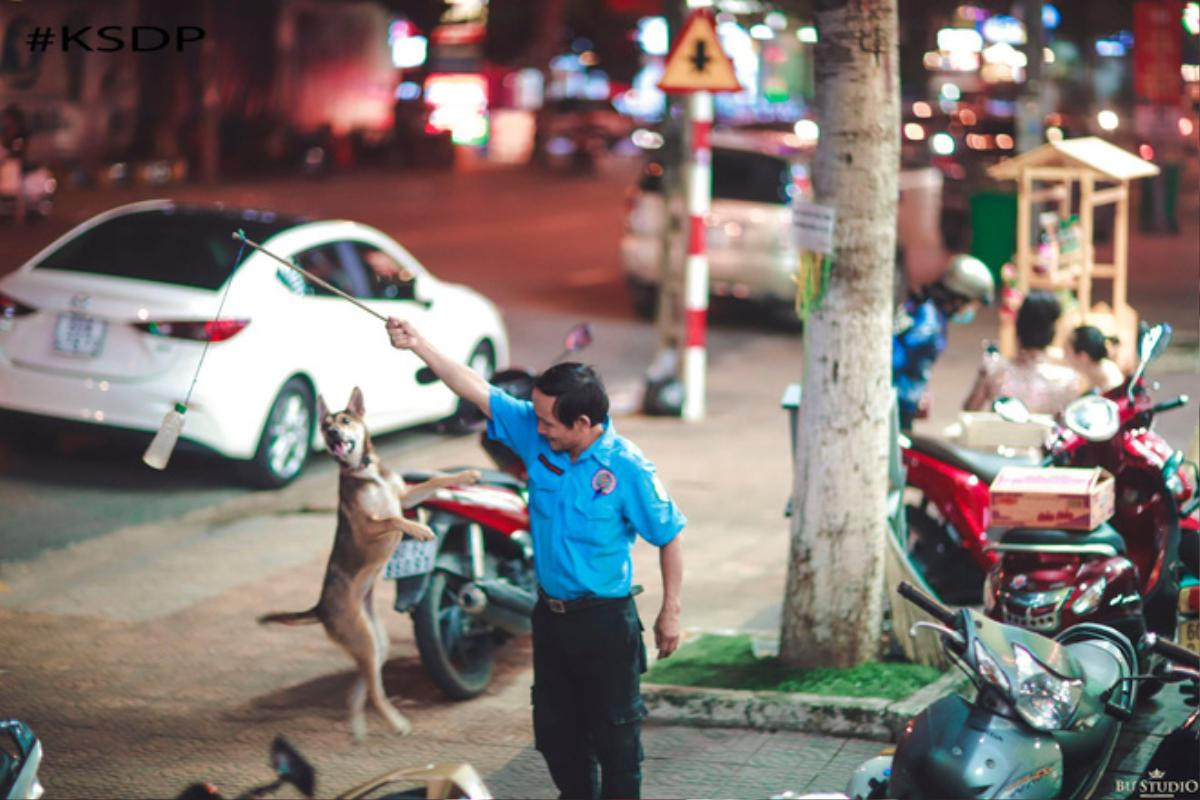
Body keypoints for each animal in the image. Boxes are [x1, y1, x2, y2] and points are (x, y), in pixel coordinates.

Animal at [259, 383, 482, 743]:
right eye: (325, 426)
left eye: (345, 421)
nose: (332, 433)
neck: (366, 471)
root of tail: (320, 607)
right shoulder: (369, 524)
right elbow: (393, 518)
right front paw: (419, 529)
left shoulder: (404, 495)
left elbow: (429, 484)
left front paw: (465, 474)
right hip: (362, 638)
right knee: (374, 692)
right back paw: (394, 723)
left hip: (375, 643)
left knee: (362, 688)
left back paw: (359, 726)